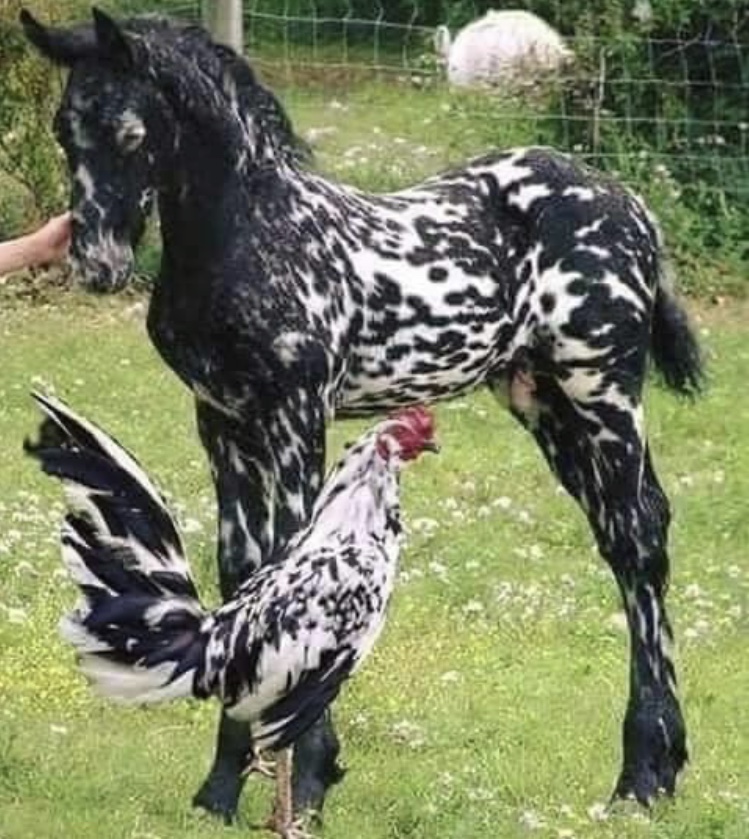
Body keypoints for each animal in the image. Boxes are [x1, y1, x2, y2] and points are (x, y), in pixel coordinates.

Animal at [22, 7, 700, 826]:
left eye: (130, 132)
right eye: (64, 129)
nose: (97, 265)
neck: (254, 235)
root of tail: (627, 203)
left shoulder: (295, 416)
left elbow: (292, 564)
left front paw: (307, 780)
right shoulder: (223, 422)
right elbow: (244, 576)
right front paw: (223, 785)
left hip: (601, 390)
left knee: (639, 540)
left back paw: (642, 775)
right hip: (542, 401)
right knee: (623, 537)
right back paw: (658, 767)